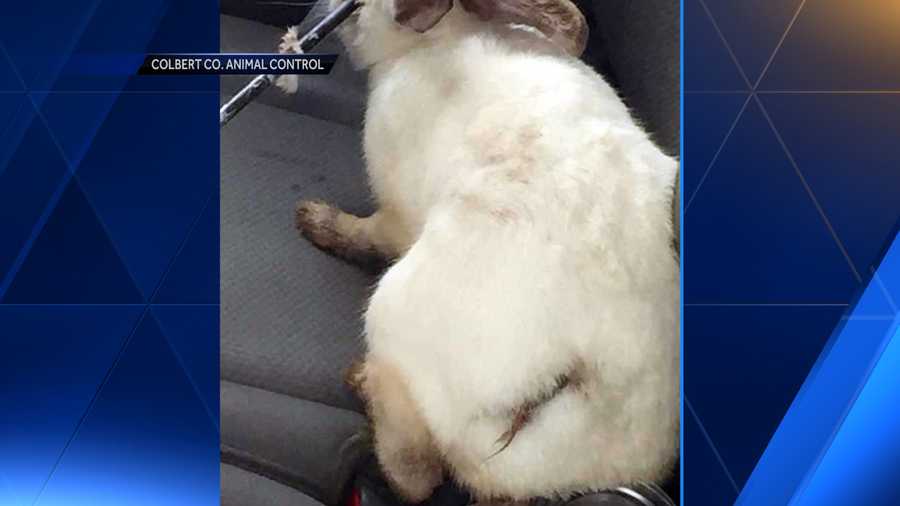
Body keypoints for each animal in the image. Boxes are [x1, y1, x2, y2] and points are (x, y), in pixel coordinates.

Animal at [286, 0, 679, 502]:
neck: (442, 36)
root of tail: (589, 374)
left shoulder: (395, 213)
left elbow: (368, 233)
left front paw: (314, 219)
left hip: (393, 307)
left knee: (415, 470)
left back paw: (360, 377)